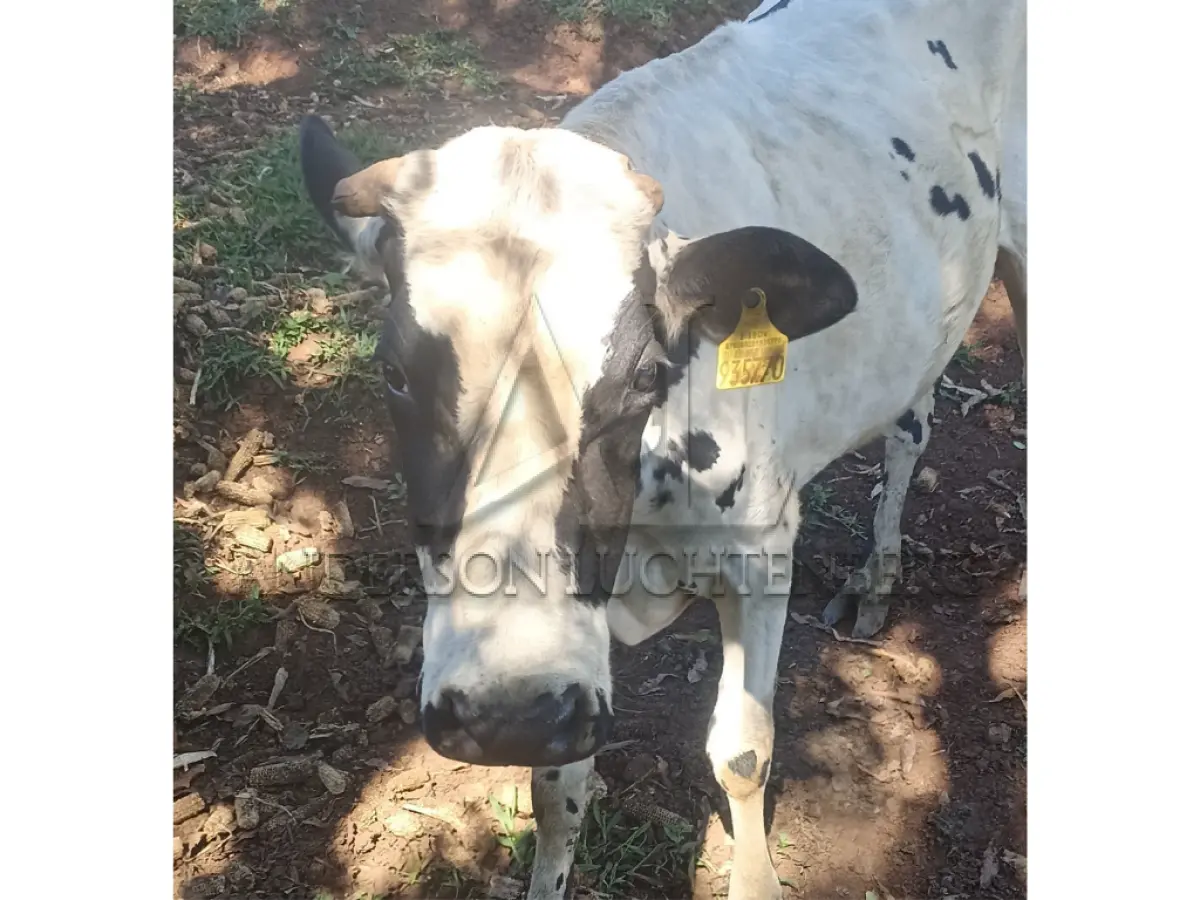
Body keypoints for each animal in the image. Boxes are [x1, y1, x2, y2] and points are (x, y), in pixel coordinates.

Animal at [297, 0, 1026, 896]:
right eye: (394, 372)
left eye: (645, 373)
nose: (506, 716)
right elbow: (559, 791)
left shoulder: (763, 556)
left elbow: (743, 750)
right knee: (912, 416)